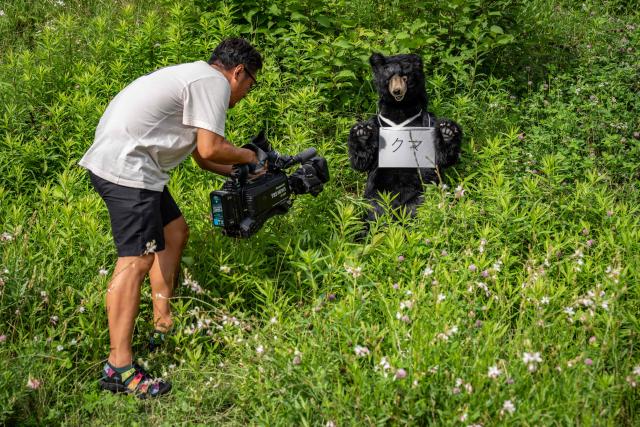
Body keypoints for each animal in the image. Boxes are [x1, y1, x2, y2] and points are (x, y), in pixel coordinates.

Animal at [347, 52, 463, 225]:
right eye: (389, 77)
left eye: (405, 77)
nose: (397, 91)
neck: (400, 113)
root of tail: (396, 209)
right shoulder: (377, 124)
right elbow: (363, 160)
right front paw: (362, 133)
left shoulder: (427, 123)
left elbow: (441, 157)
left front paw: (447, 131)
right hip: (377, 193)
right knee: (373, 211)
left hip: (422, 193)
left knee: (419, 208)